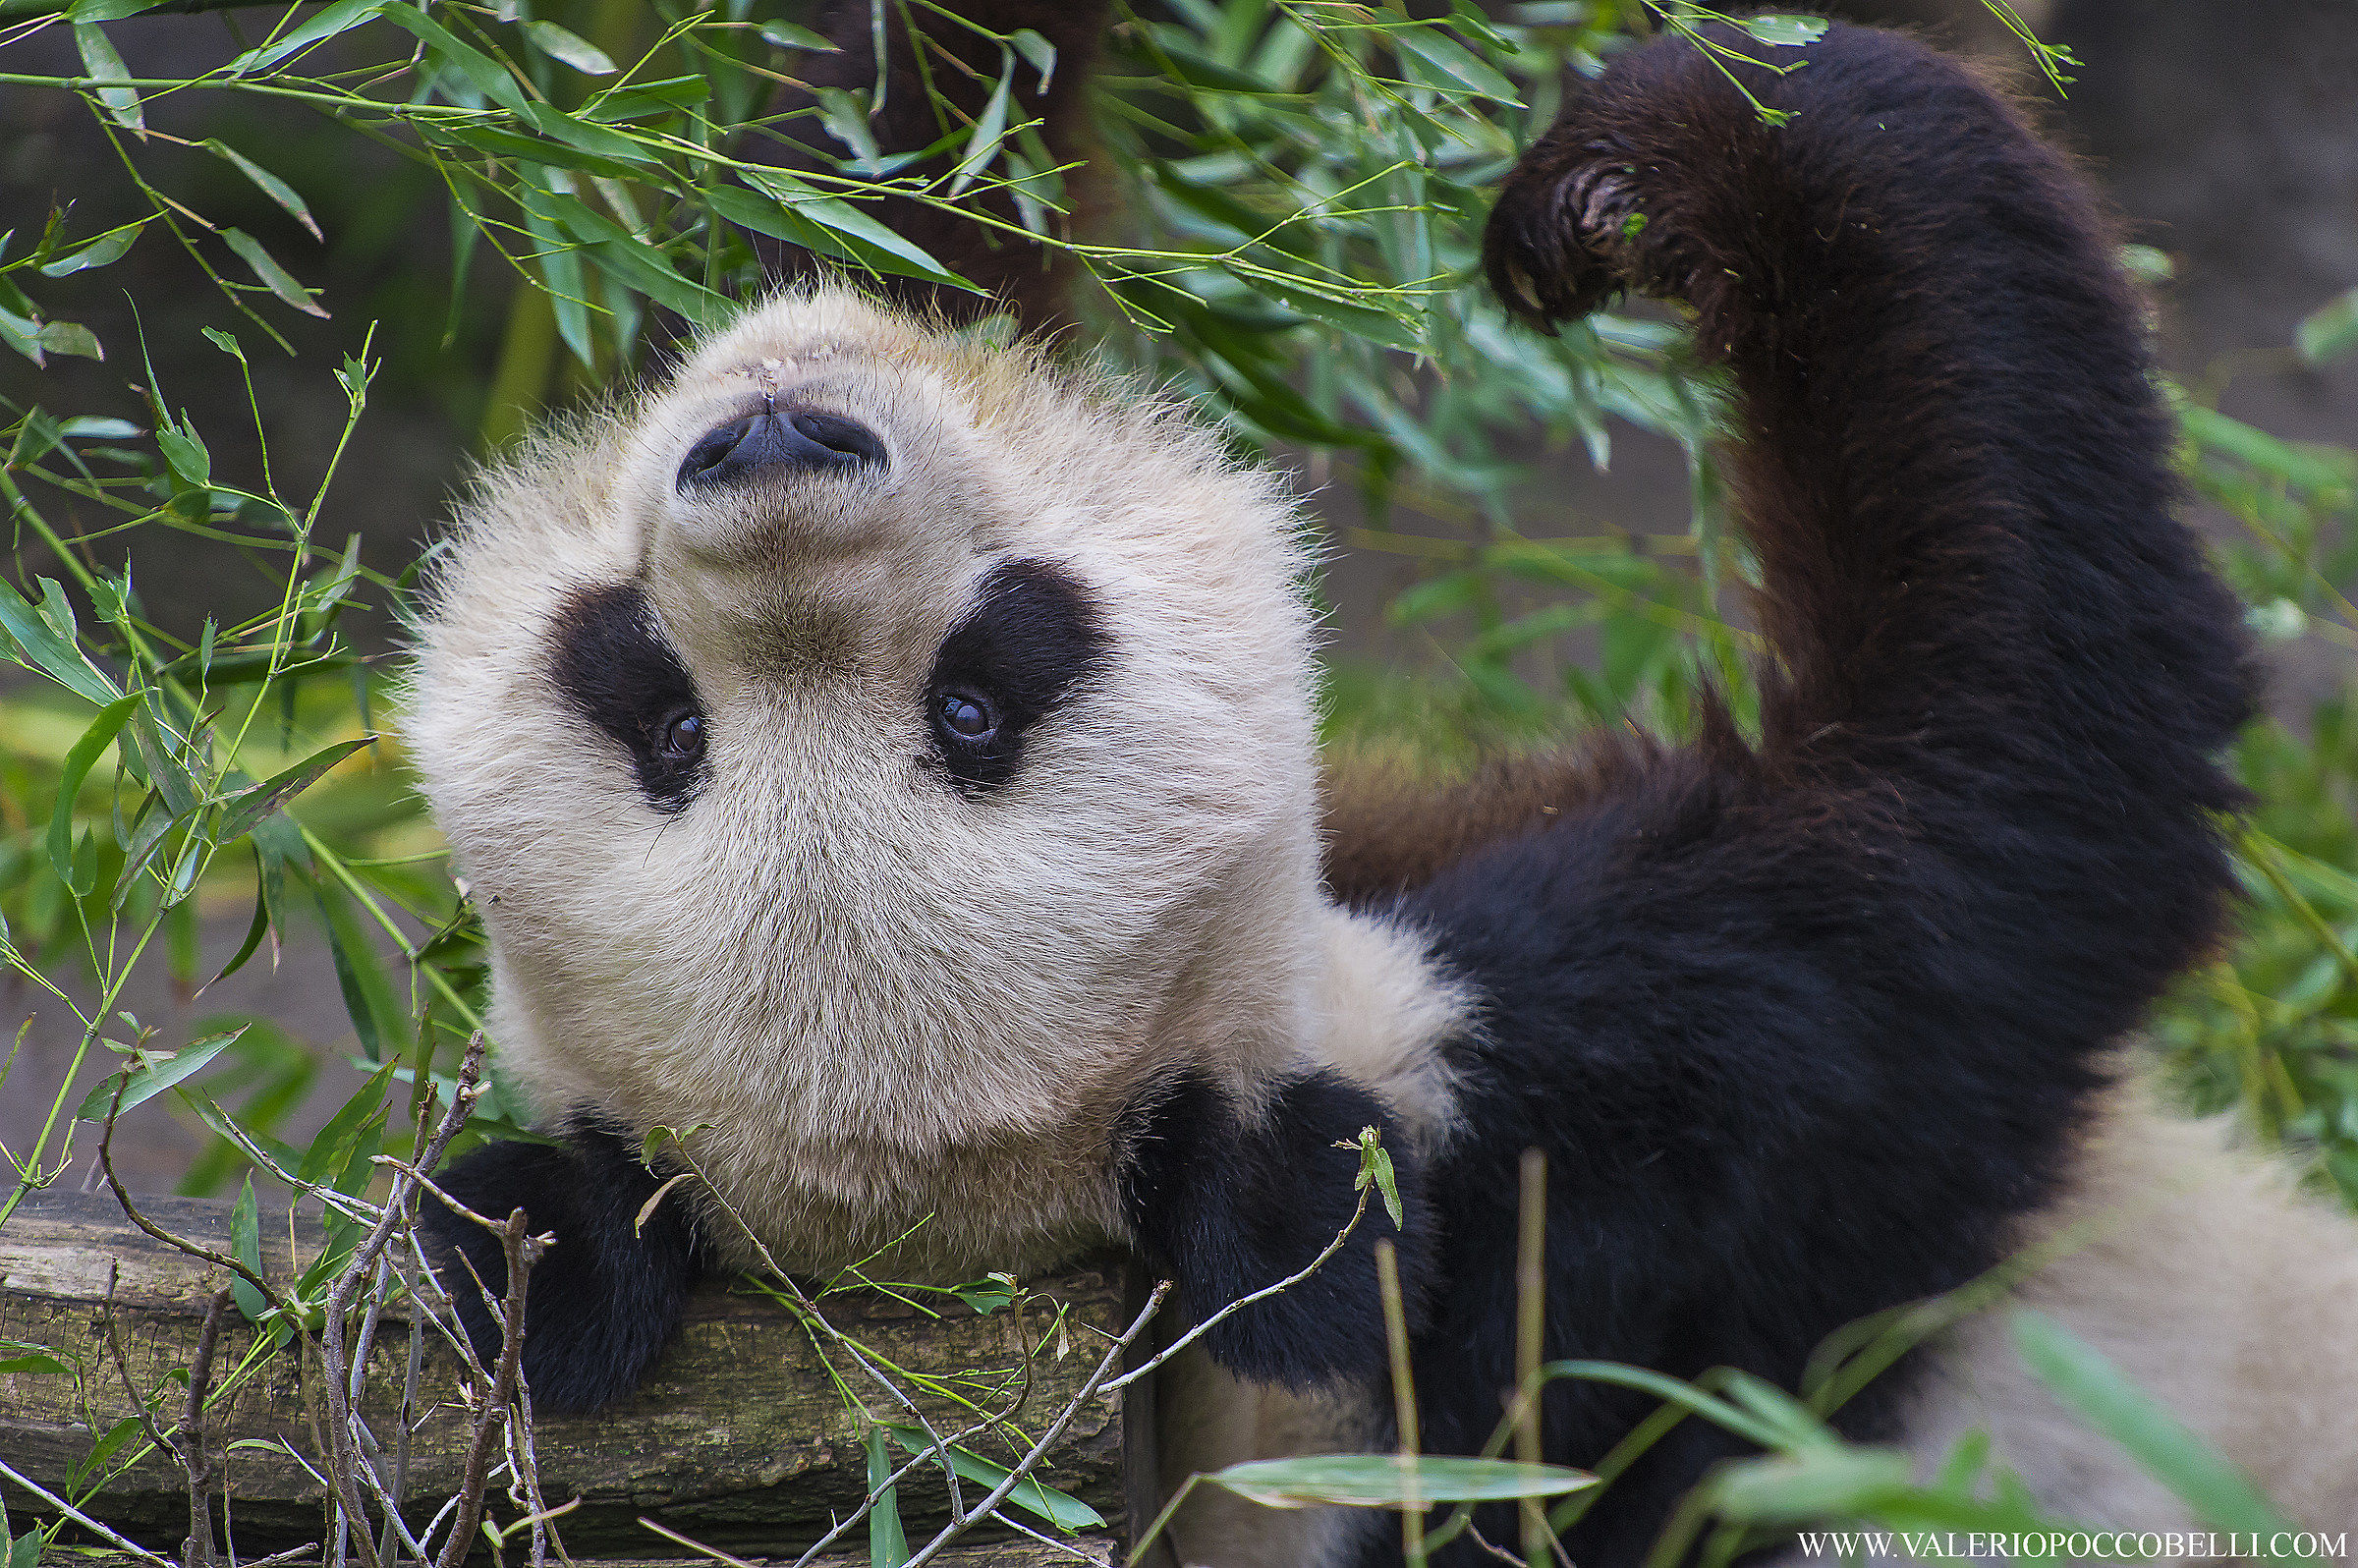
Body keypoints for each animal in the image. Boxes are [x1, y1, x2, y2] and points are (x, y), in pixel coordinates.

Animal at [404, 14, 2358, 1566]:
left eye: (974, 705)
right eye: (677, 718)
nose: (771, 445)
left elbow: (892, 183)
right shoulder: (1642, 1128)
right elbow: (2018, 778)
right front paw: (1679, 154)